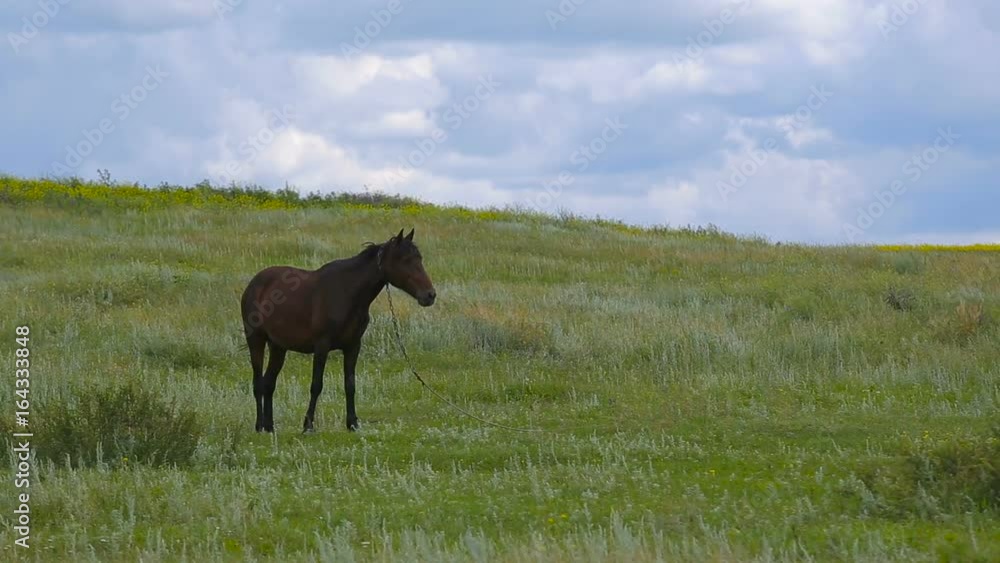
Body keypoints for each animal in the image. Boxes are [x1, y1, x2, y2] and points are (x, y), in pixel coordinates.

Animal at [239, 229, 436, 433]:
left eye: (419, 258)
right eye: (405, 260)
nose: (430, 295)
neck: (347, 293)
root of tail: (254, 284)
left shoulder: (353, 346)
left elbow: (350, 385)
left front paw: (353, 423)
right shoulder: (322, 346)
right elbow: (316, 385)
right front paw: (308, 425)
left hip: (278, 346)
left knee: (269, 383)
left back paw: (269, 427)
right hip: (256, 340)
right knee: (258, 383)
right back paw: (259, 426)